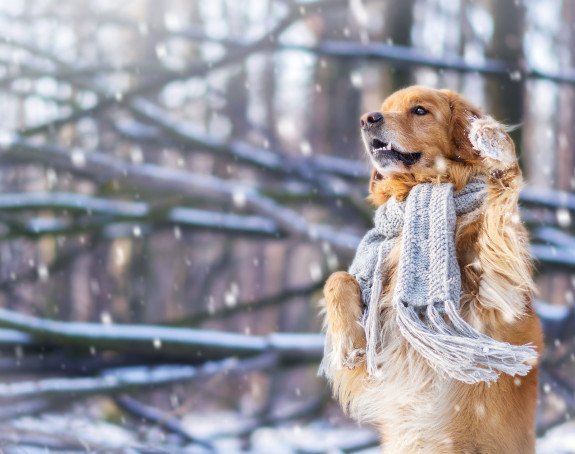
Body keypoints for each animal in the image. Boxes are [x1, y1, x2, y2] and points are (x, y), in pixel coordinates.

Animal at [322, 86, 544, 454]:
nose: (367, 119)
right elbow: (337, 279)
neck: (422, 188)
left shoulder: (495, 295)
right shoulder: (381, 358)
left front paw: (495, 144)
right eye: (384, 108)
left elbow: (499, 212)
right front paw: (350, 343)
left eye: (419, 110)